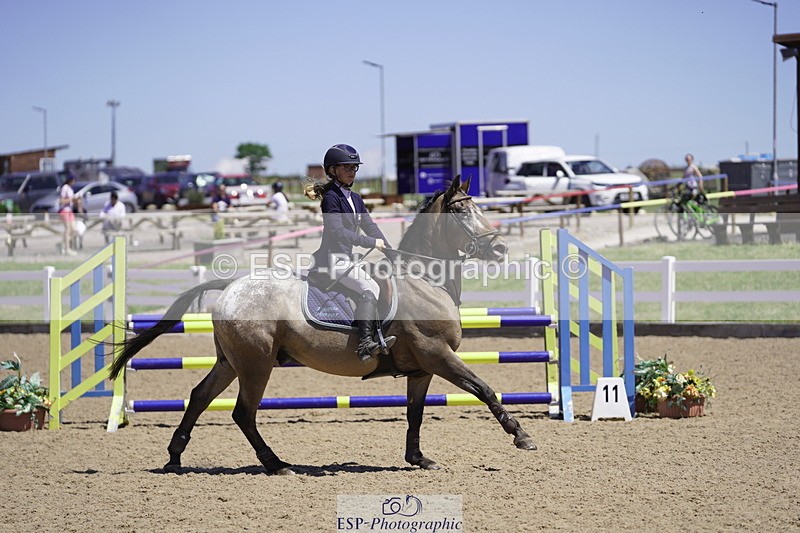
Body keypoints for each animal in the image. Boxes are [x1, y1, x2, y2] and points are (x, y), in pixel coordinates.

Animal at [109, 176, 537, 475]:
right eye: (462, 212)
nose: (499, 248)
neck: (424, 279)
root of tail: (231, 287)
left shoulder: (421, 368)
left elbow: (415, 413)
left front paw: (418, 458)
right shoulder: (438, 355)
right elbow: (484, 388)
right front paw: (521, 436)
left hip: (231, 362)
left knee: (199, 397)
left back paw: (174, 457)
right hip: (256, 364)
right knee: (243, 413)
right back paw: (276, 464)